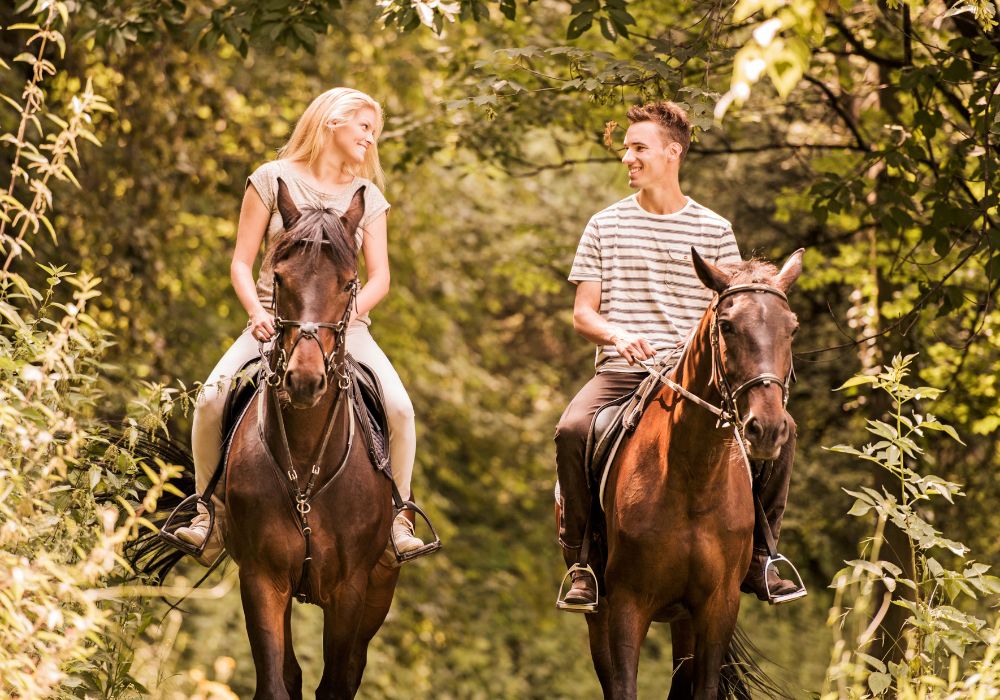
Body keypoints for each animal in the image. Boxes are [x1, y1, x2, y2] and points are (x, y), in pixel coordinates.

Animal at [225, 182, 400, 700]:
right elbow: (275, 683)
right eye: (280, 279)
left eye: (348, 283)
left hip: (379, 591)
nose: (305, 381)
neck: (304, 462)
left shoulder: (351, 590)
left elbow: (337, 683)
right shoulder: (261, 580)